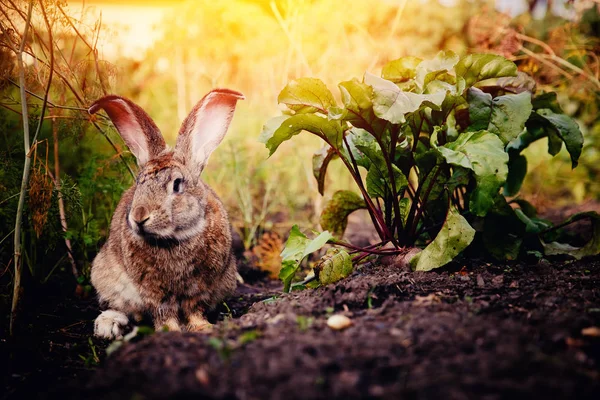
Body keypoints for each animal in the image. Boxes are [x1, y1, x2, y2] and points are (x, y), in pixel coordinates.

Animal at [88, 89, 243, 340]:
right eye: (139, 183)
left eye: (177, 185)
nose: (139, 217)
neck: (175, 237)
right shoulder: (153, 290)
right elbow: (163, 310)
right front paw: (169, 332)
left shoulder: (200, 287)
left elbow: (194, 308)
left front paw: (202, 328)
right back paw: (108, 326)